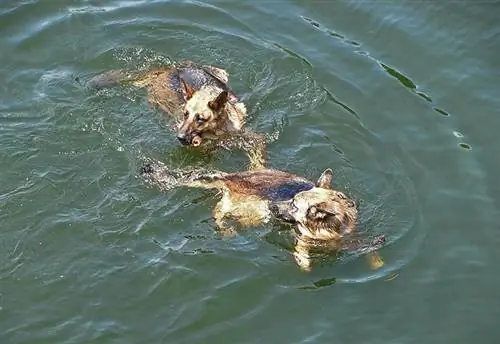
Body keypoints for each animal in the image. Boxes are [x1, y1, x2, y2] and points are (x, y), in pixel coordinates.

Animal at [87, 60, 266, 171]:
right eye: (185, 114)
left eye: (200, 118)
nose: (179, 138)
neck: (217, 132)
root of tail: (170, 70)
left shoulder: (254, 139)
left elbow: (258, 156)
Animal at [139, 159, 384, 272]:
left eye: (293, 205)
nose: (273, 207)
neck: (329, 230)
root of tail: (231, 177)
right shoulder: (302, 238)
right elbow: (301, 250)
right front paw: (304, 263)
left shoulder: (352, 236)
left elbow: (367, 247)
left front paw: (376, 259)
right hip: (246, 210)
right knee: (217, 212)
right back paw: (225, 227)